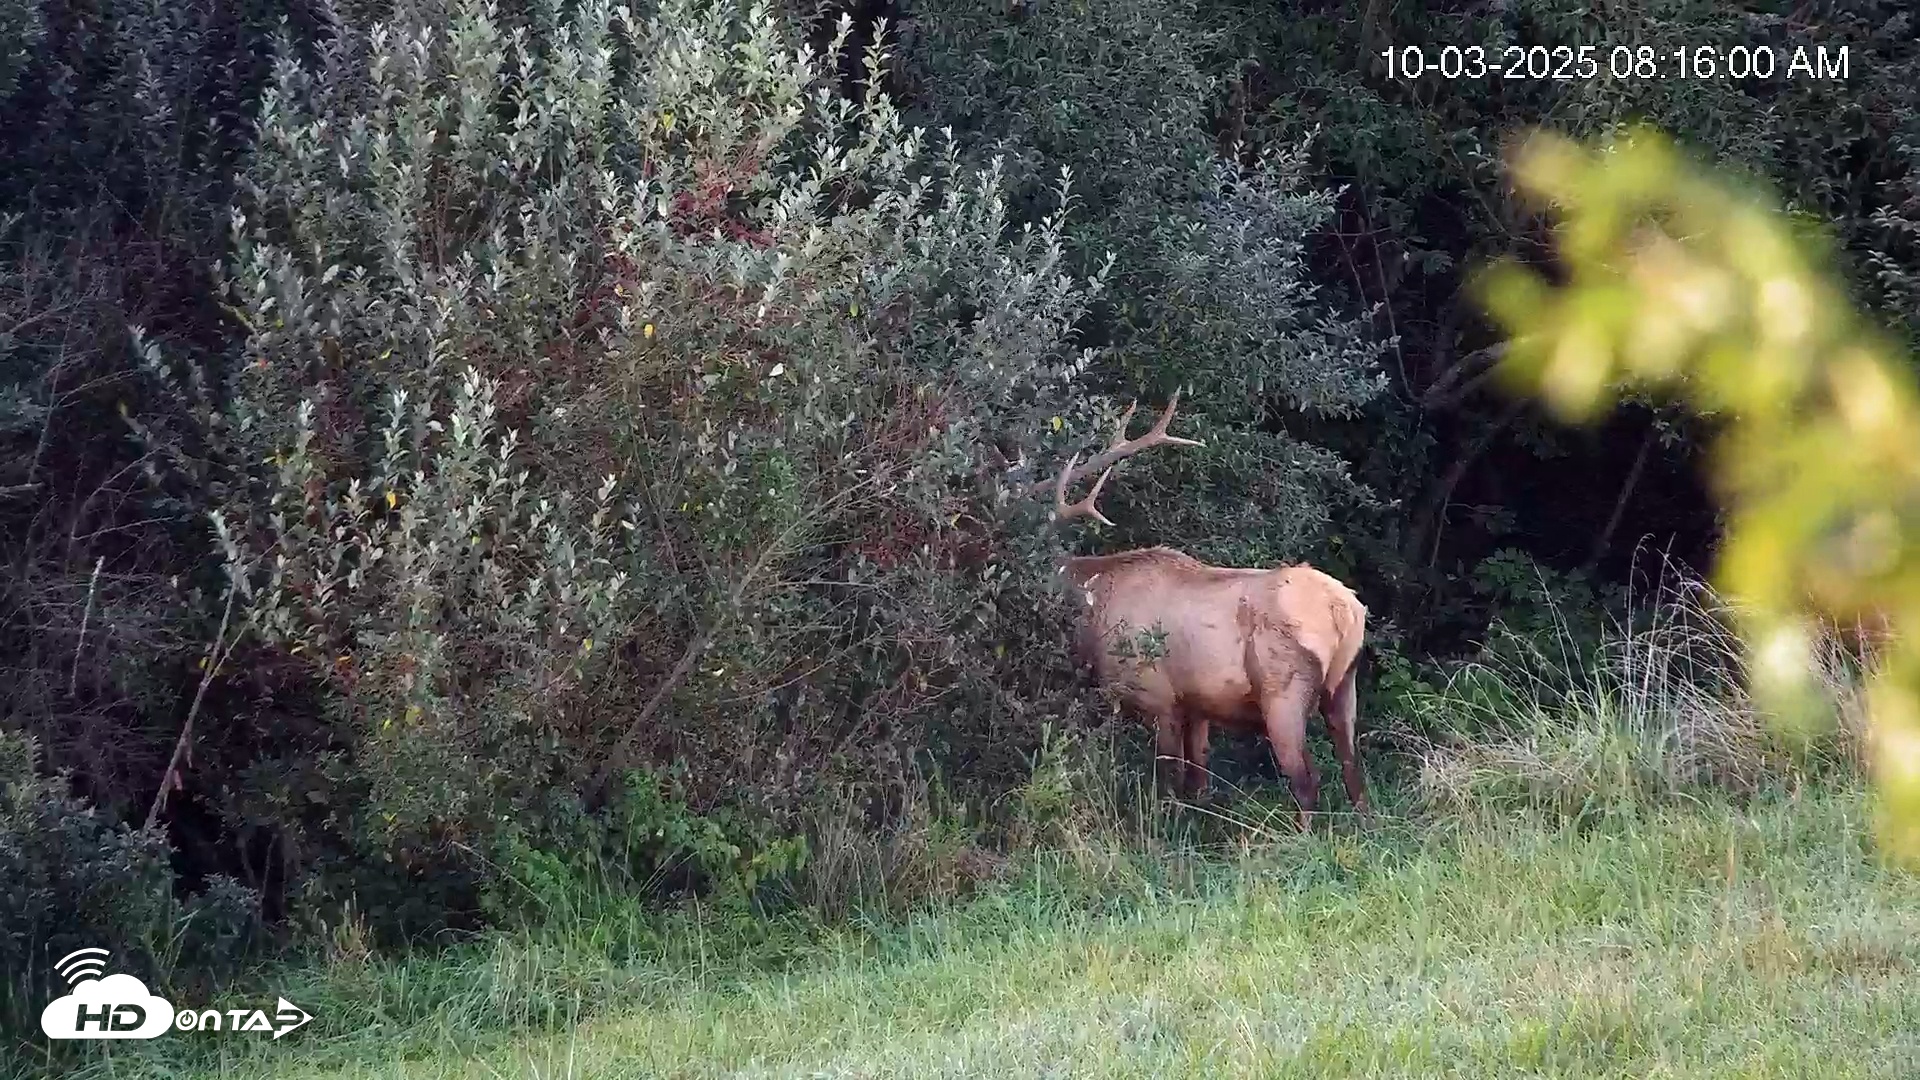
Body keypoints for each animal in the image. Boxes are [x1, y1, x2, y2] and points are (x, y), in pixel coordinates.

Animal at [1040, 392, 1372, 831]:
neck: (1095, 613)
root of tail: (1345, 611)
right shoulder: (1197, 705)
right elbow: (1198, 781)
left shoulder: (1157, 694)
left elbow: (1169, 778)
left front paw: (1162, 831)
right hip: (1345, 683)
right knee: (1354, 772)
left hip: (1283, 688)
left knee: (1306, 778)